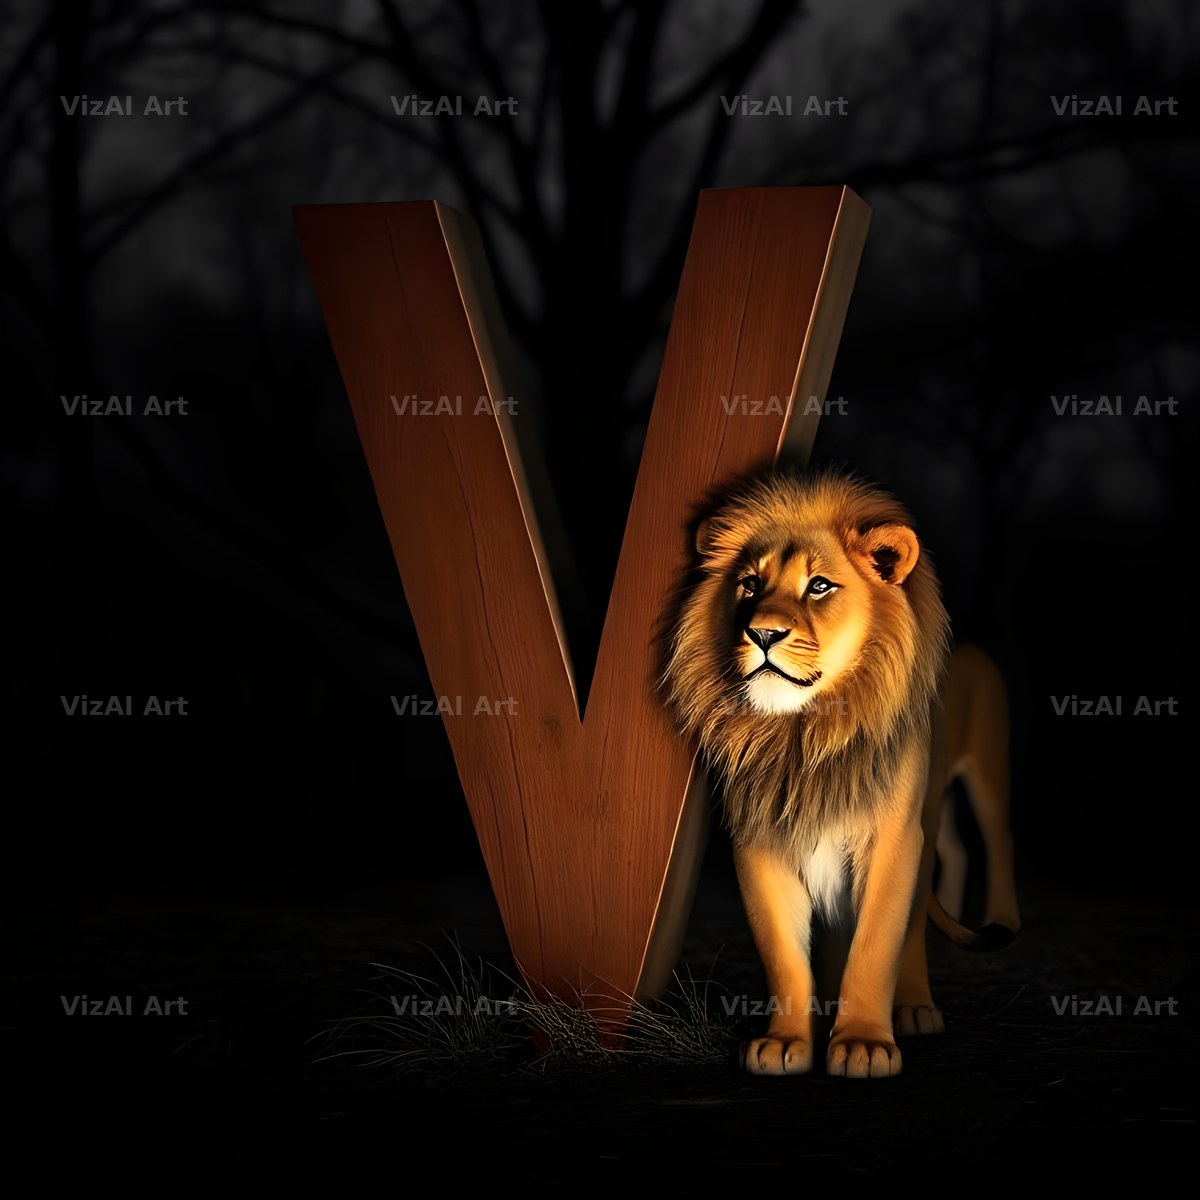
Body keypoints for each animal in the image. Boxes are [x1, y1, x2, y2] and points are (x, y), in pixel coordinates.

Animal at [662, 468, 1019, 1079]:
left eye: (820, 586)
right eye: (749, 586)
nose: (761, 634)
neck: (805, 735)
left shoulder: (893, 838)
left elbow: (876, 945)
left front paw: (864, 1044)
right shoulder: (762, 841)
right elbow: (784, 955)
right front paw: (785, 1042)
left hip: (985, 777)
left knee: (992, 845)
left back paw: (930, 992)